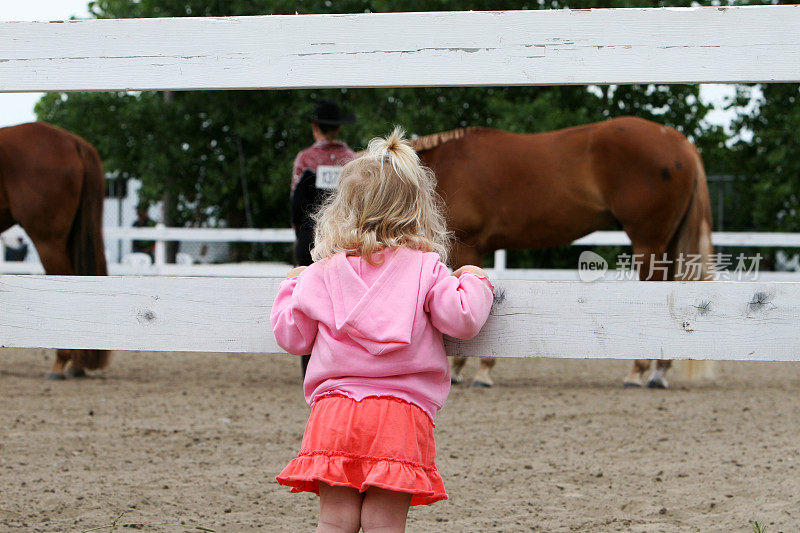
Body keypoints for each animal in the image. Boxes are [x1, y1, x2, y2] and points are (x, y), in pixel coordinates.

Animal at [412, 116, 712, 388]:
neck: (449, 162)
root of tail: (681, 142)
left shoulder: (467, 247)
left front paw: (472, 370)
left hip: (648, 242)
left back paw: (637, 373)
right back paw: (658, 373)